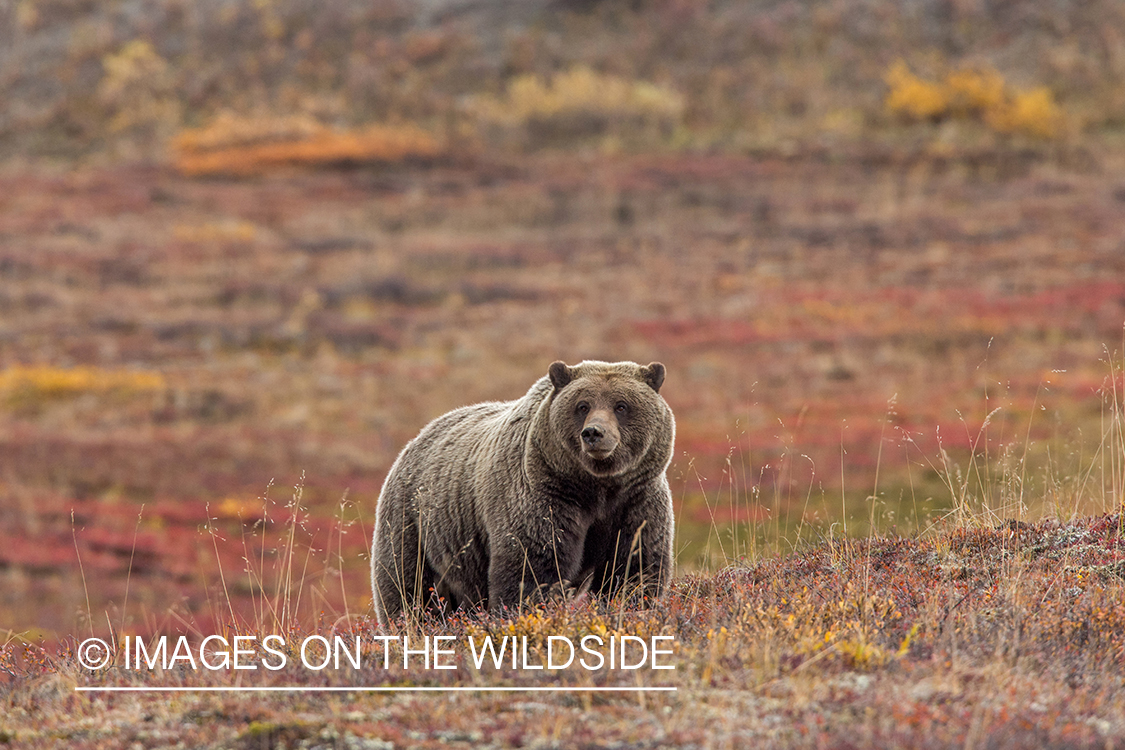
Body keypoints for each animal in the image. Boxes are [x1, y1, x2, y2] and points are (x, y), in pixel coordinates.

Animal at [371, 359, 675, 625]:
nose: (593, 433)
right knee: (408, 587)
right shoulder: (544, 496)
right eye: (582, 405)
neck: (595, 487)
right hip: (415, 523)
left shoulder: (635, 501)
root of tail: (414, 440)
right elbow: (532, 567)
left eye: (621, 405)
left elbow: (632, 568)